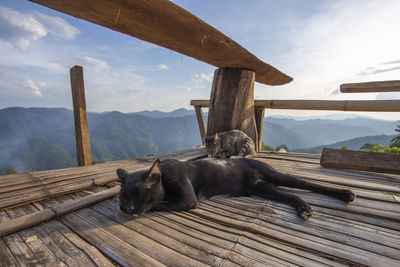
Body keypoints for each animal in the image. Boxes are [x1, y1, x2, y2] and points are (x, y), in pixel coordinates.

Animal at [116, 158, 356, 219]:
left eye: (137, 195)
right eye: (122, 198)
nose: (126, 209)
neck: (165, 177)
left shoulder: (187, 199)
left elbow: (164, 203)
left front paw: (154, 206)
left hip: (276, 177)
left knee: (306, 184)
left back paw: (346, 194)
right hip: (263, 189)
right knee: (290, 196)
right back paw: (303, 208)